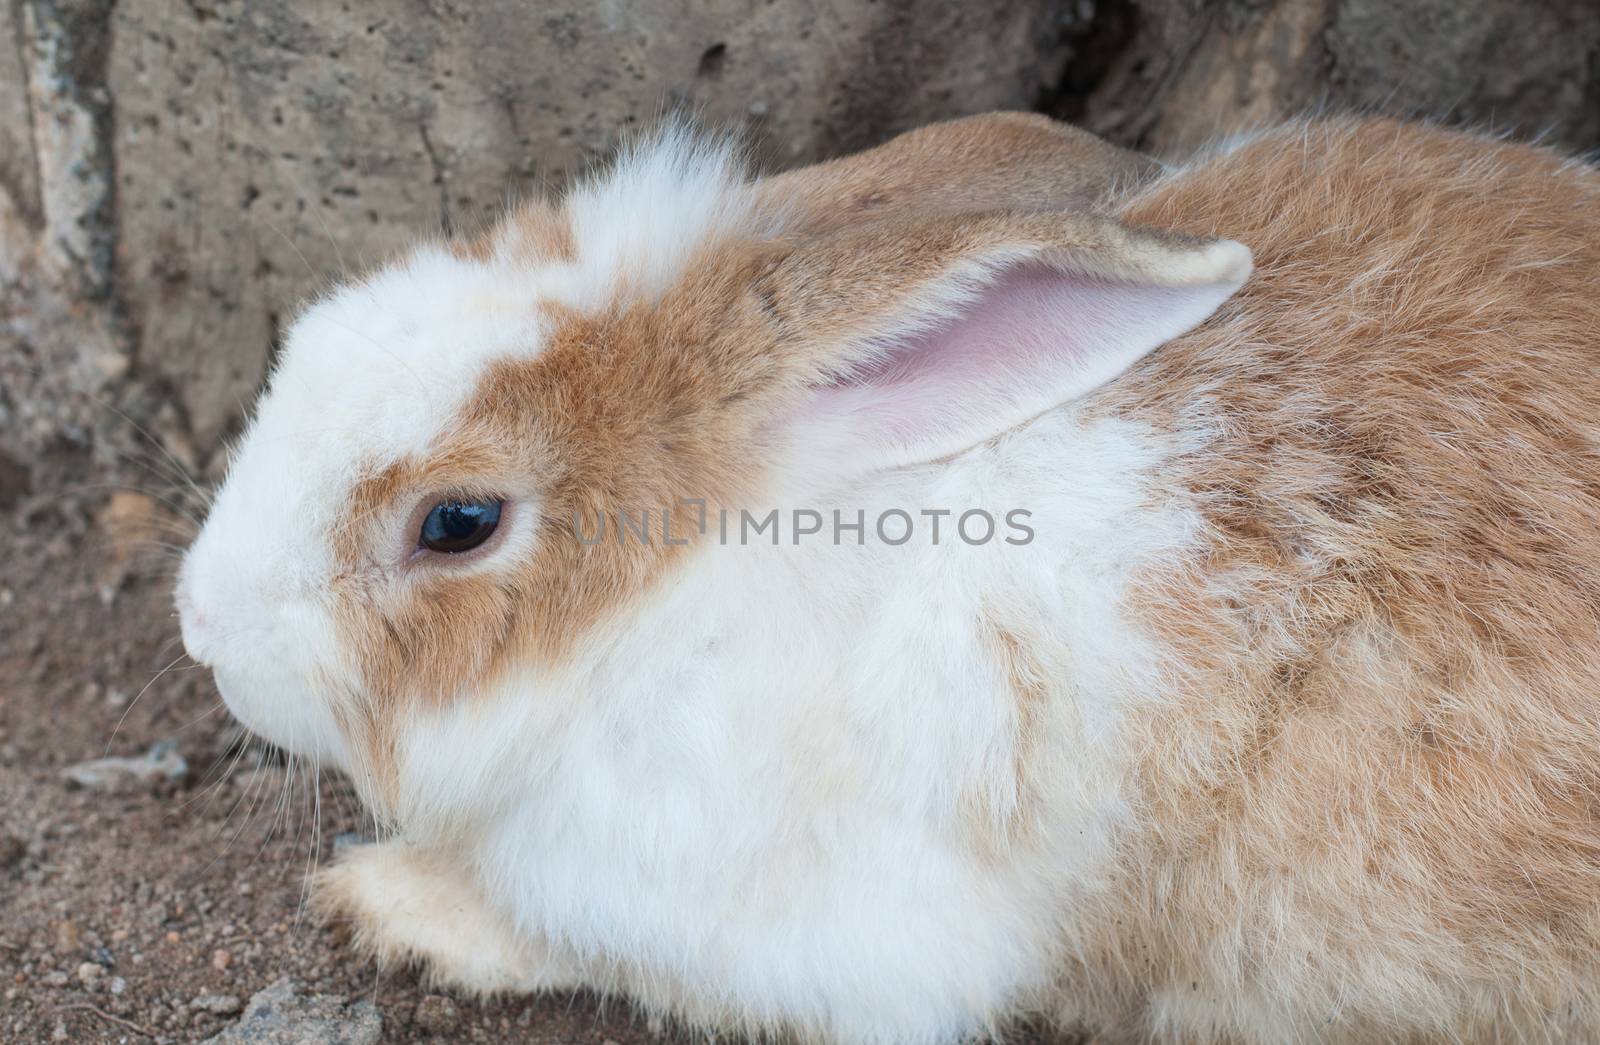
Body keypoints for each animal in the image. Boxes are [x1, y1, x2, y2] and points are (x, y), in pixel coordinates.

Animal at [175, 110, 1600, 1036]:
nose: (200, 630)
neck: (670, 596)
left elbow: (573, 938)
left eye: (458, 522)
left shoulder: (801, 922)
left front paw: (388, 900)